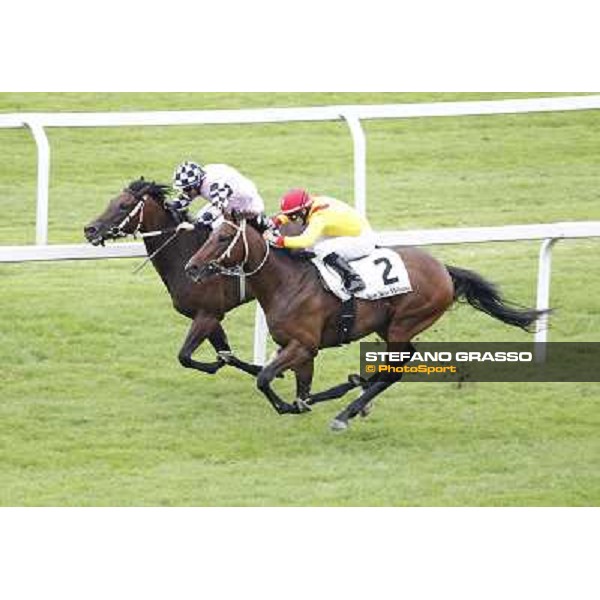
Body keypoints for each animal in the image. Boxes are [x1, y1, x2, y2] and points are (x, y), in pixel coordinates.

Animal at [84, 176, 260, 380]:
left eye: (124, 206)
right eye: (111, 202)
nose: (90, 229)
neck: (186, 253)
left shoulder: (209, 313)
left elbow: (185, 356)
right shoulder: (203, 315)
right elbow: (225, 354)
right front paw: (257, 368)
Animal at [184, 216, 548, 432]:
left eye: (224, 237)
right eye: (211, 234)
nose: (192, 267)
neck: (287, 282)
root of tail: (443, 269)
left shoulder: (303, 344)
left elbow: (264, 378)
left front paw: (286, 406)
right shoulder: (300, 349)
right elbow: (301, 388)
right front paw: (302, 402)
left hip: (405, 321)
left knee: (395, 370)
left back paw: (346, 412)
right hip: (389, 326)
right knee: (395, 363)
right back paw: (354, 390)